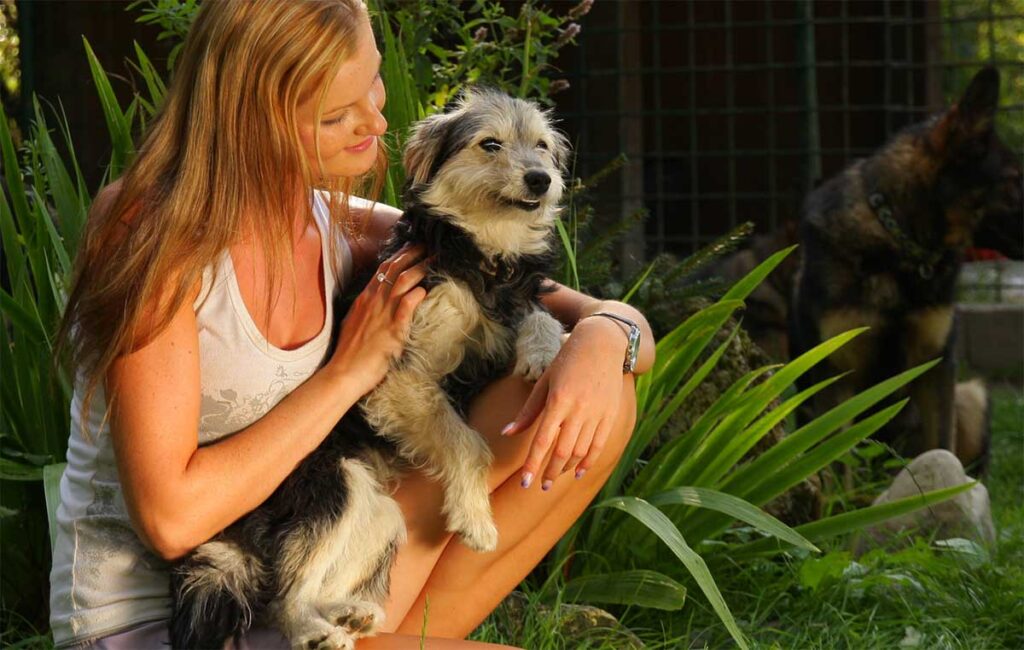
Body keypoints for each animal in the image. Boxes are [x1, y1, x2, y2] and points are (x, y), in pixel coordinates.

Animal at [167, 87, 569, 650]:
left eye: (542, 146)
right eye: (490, 144)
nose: (540, 179)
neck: (482, 253)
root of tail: (235, 536)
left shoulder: (510, 303)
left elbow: (542, 316)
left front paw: (543, 353)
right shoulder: (397, 376)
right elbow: (466, 441)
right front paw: (475, 519)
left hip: (377, 511)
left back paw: (349, 614)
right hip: (332, 488)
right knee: (282, 596)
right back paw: (315, 631)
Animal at [790, 68, 1015, 470]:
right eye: (1015, 179)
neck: (898, 243)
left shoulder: (937, 368)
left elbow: (942, 448)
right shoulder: (836, 374)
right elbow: (837, 466)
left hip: (972, 397)